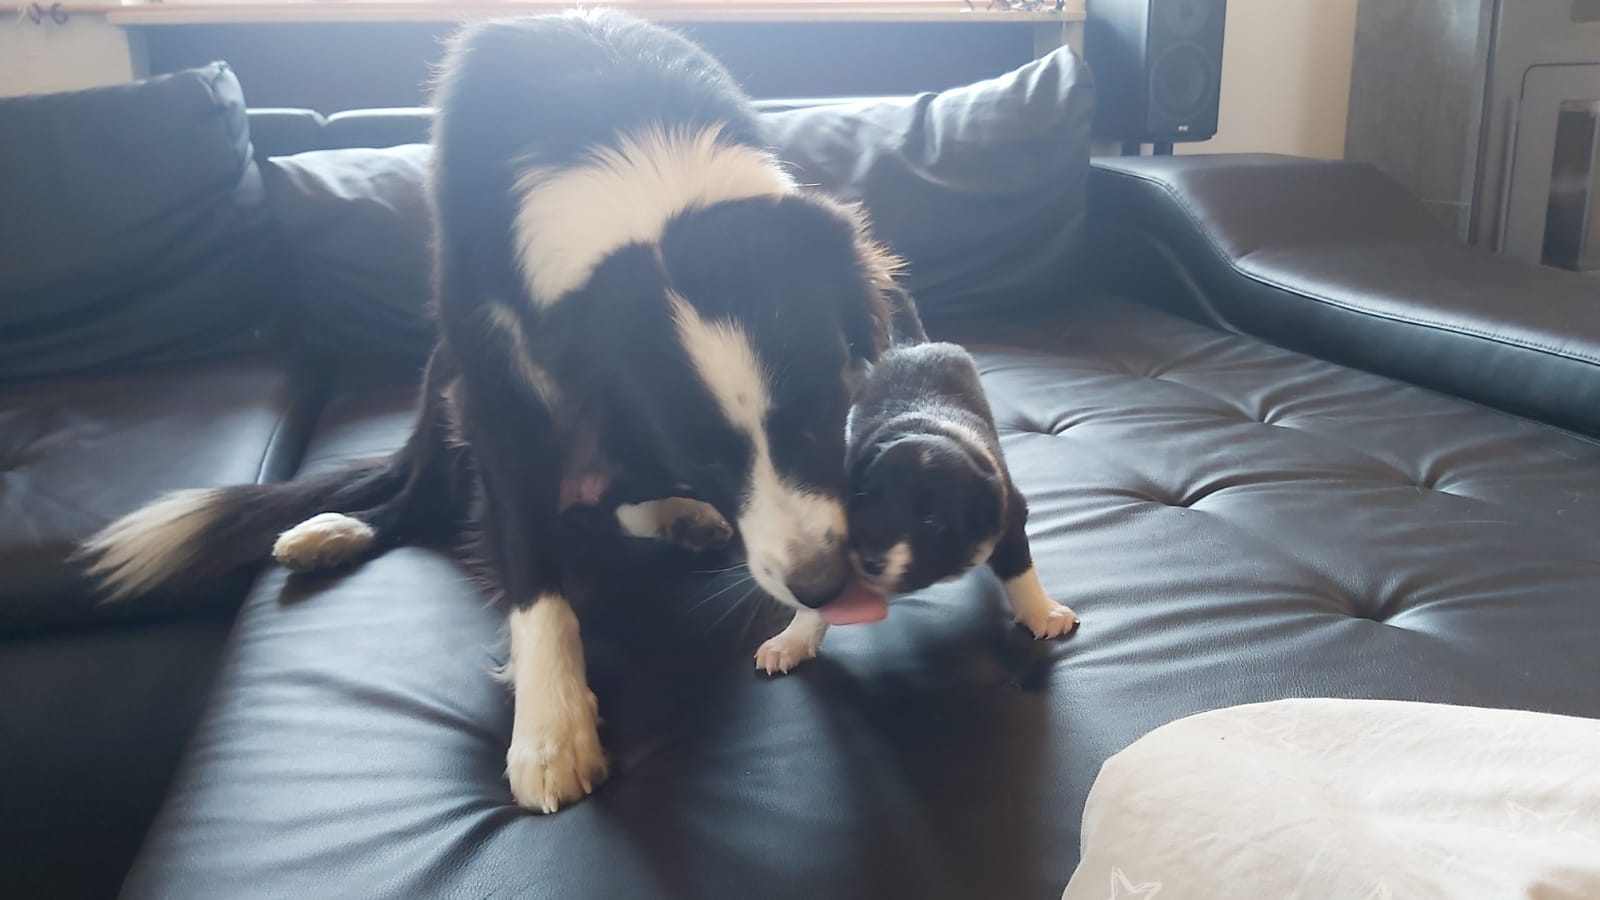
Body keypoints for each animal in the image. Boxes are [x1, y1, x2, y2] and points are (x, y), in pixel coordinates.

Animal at [79, 10, 919, 814]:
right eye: (699, 456)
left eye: (827, 407)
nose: (821, 587)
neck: (646, 176)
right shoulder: (497, 388)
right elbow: (530, 564)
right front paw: (551, 732)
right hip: (445, 378)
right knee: (421, 495)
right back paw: (340, 530)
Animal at [755, 342, 1079, 675]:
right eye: (864, 500)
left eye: (931, 522)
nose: (870, 561)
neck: (928, 427)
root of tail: (912, 345)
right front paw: (791, 640)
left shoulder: (1008, 508)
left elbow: (1018, 565)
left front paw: (1043, 611)